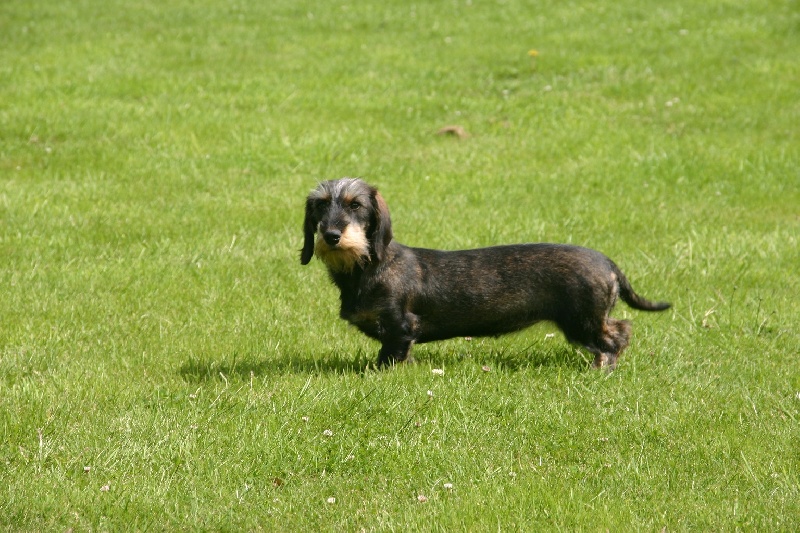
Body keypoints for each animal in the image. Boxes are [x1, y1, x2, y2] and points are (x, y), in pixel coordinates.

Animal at [300, 177, 668, 368]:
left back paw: (603, 366)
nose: (331, 236)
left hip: (582, 320)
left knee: (616, 335)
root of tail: (606, 262)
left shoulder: (400, 327)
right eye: (320, 205)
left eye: (356, 205)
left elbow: (391, 356)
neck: (370, 266)